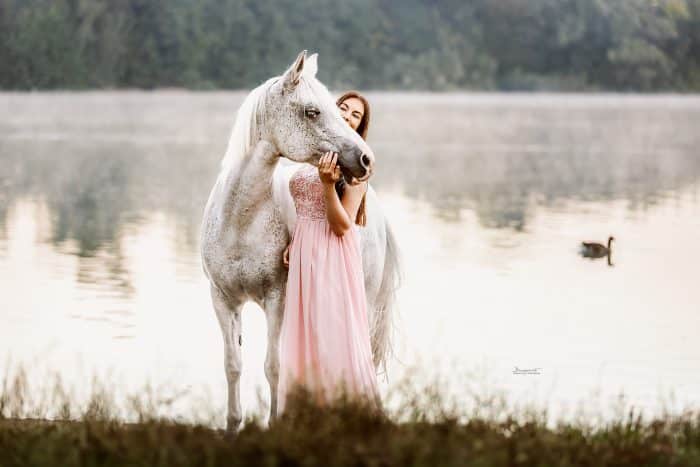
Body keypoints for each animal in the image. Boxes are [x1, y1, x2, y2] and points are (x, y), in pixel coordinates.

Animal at [200, 49, 402, 434]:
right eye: (312, 111)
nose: (366, 159)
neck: (240, 221)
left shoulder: (276, 299)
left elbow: (274, 366)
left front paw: (274, 424)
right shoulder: (223, 300)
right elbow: (232, 365)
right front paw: (233, 426)